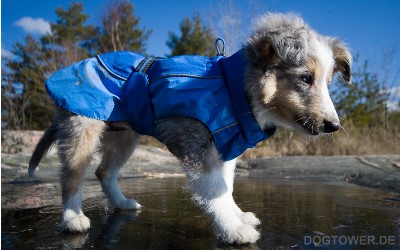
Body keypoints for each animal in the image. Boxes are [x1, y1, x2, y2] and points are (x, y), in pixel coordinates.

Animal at [29, 13, 350, 244]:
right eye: (305, 78)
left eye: (327, 82)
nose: (334, 126)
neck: (236, 89)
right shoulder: (197, 146)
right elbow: (216, 190)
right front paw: (232, 229)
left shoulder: (223, 150)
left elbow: (226, 187)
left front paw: (237, 217)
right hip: (82, 127)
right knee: (72, 175)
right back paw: (72, 219)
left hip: (126, 136)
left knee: (104, 172)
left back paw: (122, 203)